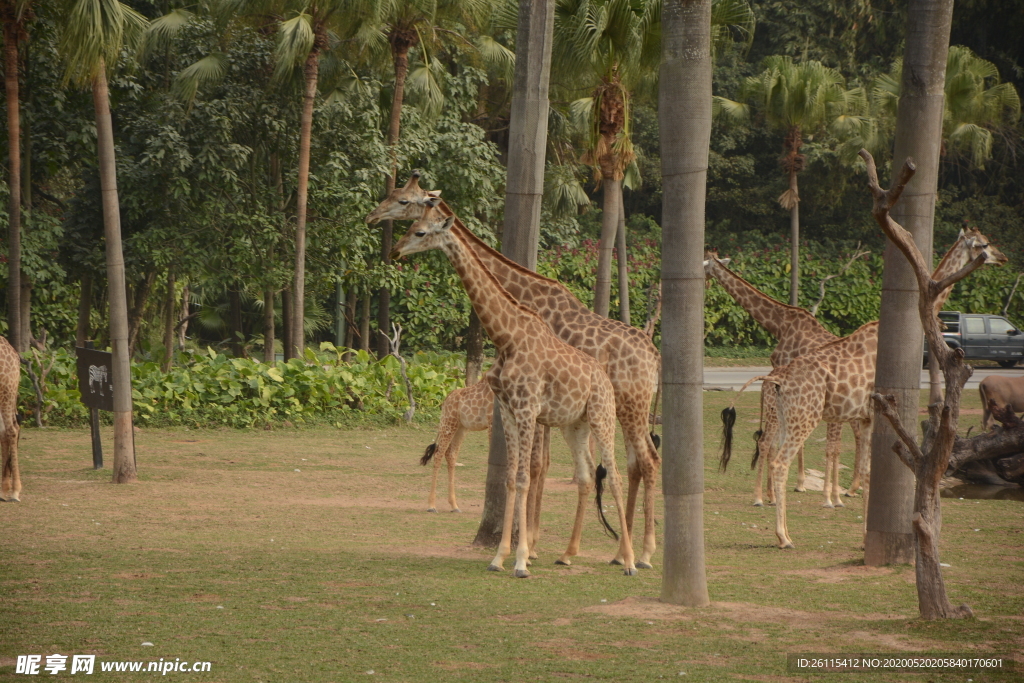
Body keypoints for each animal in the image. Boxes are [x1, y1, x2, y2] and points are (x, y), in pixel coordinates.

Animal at [417, 370, 493, 509]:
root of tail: (446, 398)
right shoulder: (492, 422)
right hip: (448, 423)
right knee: (439, 453)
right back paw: (432, 505)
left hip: (461, 428)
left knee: (451, 454)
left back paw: (454, 506)